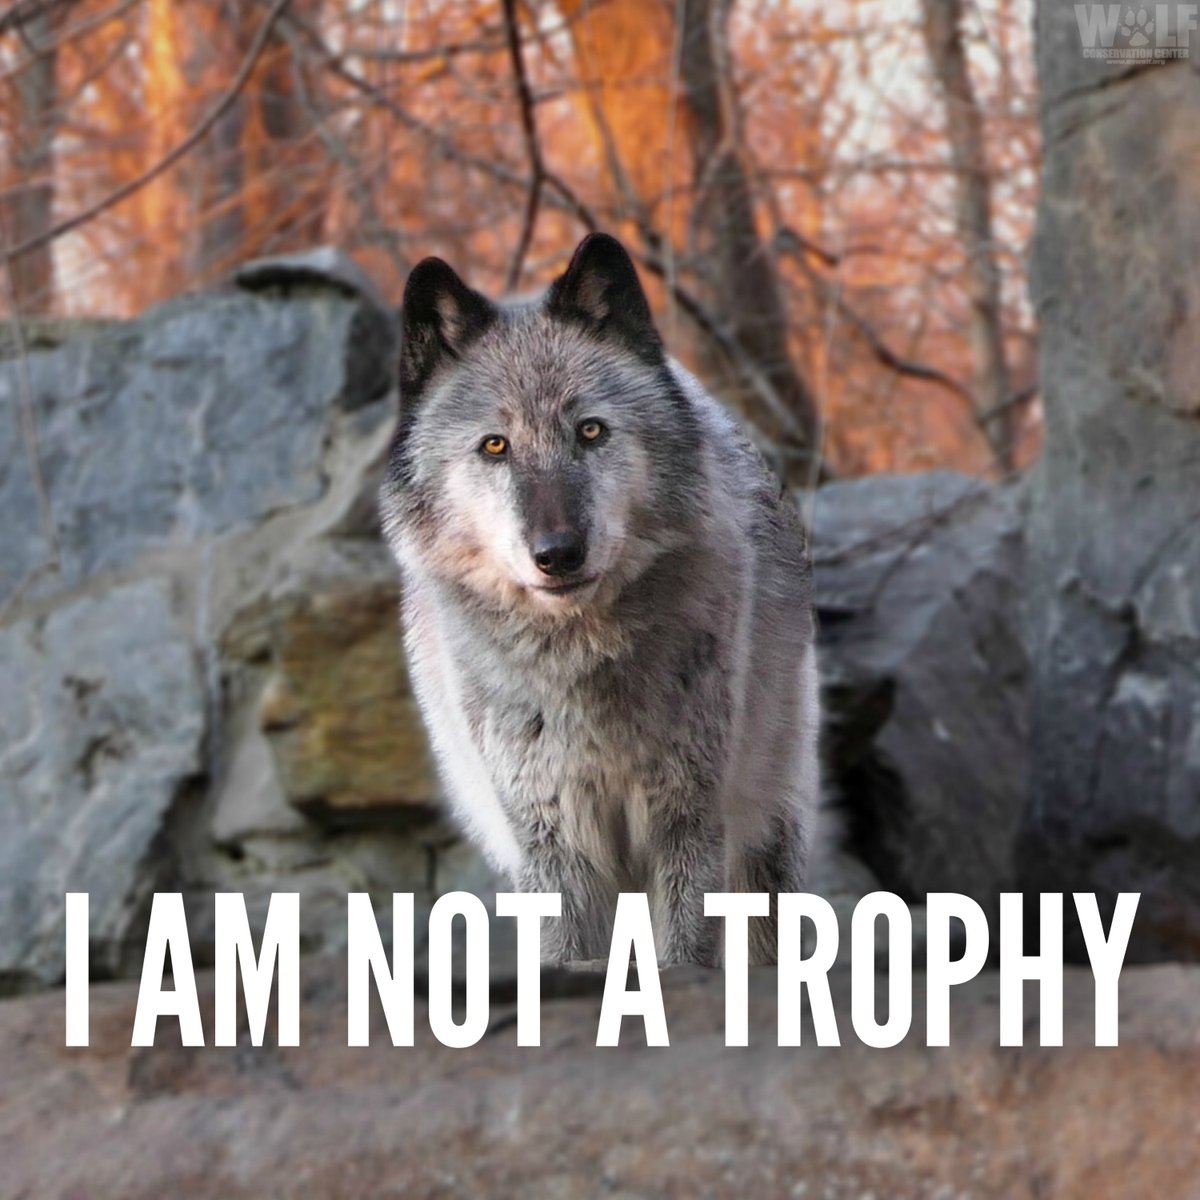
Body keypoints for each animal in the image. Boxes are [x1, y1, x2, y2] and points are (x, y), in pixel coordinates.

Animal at [379, 233, 819, 966]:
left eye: (589, 431)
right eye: (495, 445)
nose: (557, 553)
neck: (579, 665)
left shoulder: (687, 817)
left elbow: (684, 954)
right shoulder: (551, 840)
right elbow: (563, 953)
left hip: (766, 823)